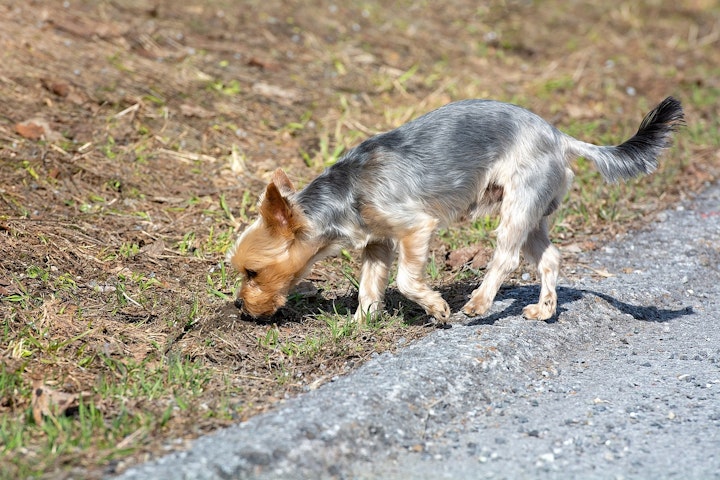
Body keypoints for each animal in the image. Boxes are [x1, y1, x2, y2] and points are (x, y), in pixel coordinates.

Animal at [228, 97, 684, 322]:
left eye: (252, 273)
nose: (239, 306)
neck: (343, 195)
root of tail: (559, 135)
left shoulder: (415, 228)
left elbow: (406, 281)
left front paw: (436, 308)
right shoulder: (377, 243)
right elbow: (370, 286)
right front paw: (361, 323)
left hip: (519, 204)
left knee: (506, 257)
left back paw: (479, 303)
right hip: (533, 212)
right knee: (549, 257)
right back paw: (544, 310)